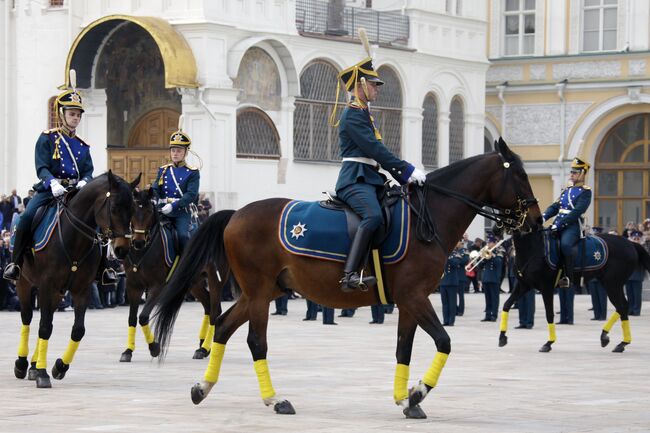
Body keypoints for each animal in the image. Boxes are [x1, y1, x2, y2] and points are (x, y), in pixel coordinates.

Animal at [13, 170, 139, 386]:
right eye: (114, 208)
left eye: (132, 209)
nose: (122, 249)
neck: (74, 239)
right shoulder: (46, 285)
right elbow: (44, 327)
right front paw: (43, 374)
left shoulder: (81, 289)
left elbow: (77, 330)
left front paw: (58, 367)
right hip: (24, 283)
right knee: (27, 318)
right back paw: (22, 364)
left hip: (57, 293)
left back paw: (33, 366)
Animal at [120, 189, 229, 362]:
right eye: (132, 211)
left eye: (149, 211)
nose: (138, 242)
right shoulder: (133, 286)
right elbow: (132, 318)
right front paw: (128, 351)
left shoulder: (157, 286)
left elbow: (143, 316)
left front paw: (154, 347)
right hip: (194, 283)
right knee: (207, 306)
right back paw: (202, 345)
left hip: (214, 279)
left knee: (215, 311)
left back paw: (204, 348)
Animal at [152, 139, 540, 418]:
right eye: (521, 176)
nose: (536, 221)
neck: (426, 218)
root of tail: (235, 215)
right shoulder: (415, 297)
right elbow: (444, 341)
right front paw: (416, 392)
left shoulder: (409, 301)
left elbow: (404, 348)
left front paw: (404, 399)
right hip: (260, 294)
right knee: (255, 342)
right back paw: (275, 400)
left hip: (258, 293)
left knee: (222, 327)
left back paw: (202, 388)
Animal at [498, 228, 644, 352]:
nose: (496, 231)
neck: (532, 248)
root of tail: (630, 244)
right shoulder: (524, 285)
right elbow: (506, 305)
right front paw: (502, 337)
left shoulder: (546, 287)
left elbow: (549, 314)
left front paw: (549, 343)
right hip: (612, 284)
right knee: (622, 306)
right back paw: (616, 341)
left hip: (612, 284)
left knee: (622, 306)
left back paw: (618, 341)